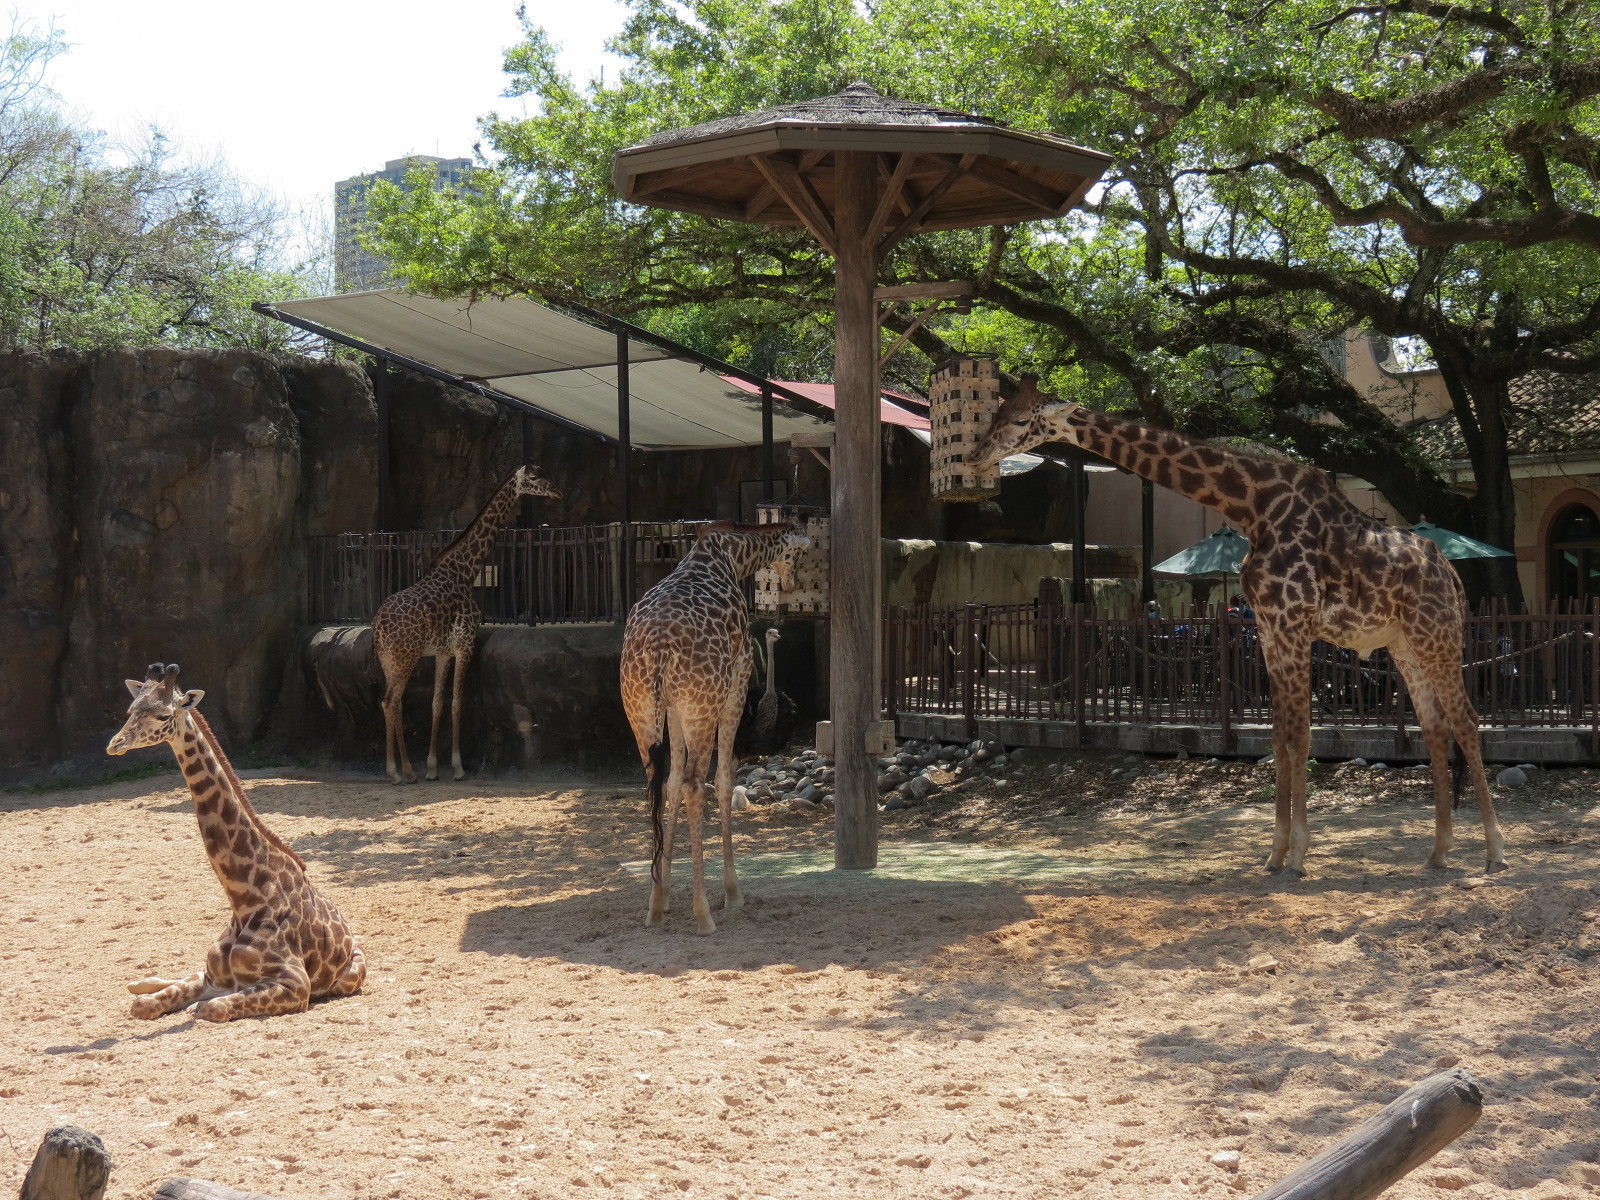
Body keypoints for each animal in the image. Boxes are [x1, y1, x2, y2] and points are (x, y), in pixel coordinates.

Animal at [107, 664, 366, 1021]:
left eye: (163, 715)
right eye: (132, 709)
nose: (115, 744)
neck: (244, 899)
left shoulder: (296, 986)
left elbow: (210, 1008)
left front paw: (193, 1006)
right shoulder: (213, 977)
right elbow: (145, 1006)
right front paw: (149, 993)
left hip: (351, 976)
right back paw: (139, 982)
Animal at [373, 464, 562, 783]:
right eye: (535, 478)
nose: (557, 492)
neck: (465, 569)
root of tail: (379, 628)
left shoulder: (442, 652)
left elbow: (437, 702)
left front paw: (433, 767)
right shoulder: (465, 645)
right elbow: (457, 702)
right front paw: (458, 767)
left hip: (389, 660)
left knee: (392, 702)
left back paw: (403, 770)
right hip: (405, 657)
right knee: (390, 701)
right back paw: (400, 772)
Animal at [620, 521, 810, 933]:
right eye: (799, 552)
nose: (790, 583)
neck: (732, 555)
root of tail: (659, 646)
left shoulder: (673, 707)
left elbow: (671, 783)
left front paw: (664, 894)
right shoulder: (737, 681)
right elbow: (722, 781)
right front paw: (732, 893)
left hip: (641, 708)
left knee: (657, 782)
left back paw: (654, 906)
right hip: (703, 704)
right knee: (697, 784)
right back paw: (704, 913)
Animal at [970, 379, 1506, 878]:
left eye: (1021, 421)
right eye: (996, 411)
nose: (975, 456)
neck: (1252, 508)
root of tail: (1453, 577)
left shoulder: (1293, 624)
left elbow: (1300, 736)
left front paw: (1298, 857)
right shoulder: (1269, 630)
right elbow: (1278, 737)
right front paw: (1274, 854)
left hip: (1437, 636)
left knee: (1467, 721)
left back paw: (1495, 852)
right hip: (1404, 645)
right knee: (1434, 728)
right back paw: (1438, 852)